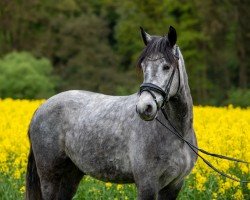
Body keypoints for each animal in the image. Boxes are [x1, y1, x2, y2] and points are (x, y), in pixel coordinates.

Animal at [25, 25, 197, 199]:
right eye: (143, 67)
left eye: (166, 66)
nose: (145, 107)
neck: (178, 134)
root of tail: (41, 108)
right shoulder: (147, 185)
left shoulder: (174, 185)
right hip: (50, 177)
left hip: (70, 175)